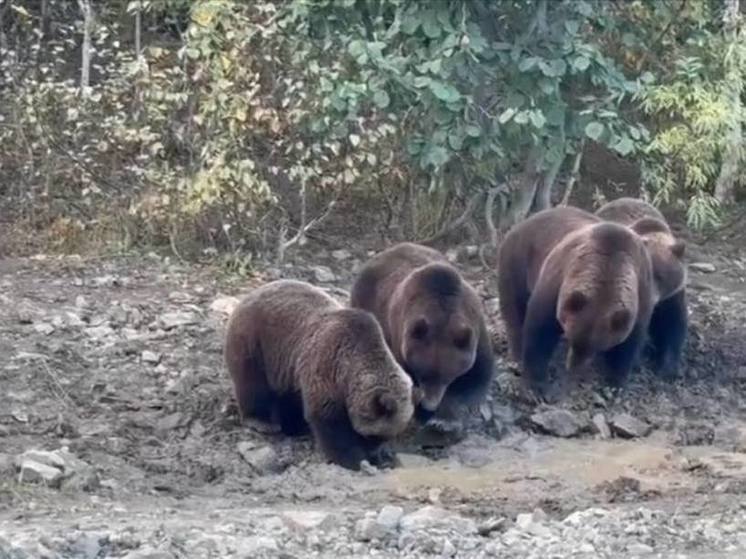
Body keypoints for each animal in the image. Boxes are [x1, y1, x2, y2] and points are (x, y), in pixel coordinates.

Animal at [224, 278, 416, 470]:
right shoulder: (327, 366)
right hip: (255, 342)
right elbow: (329, 420)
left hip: (285, 365)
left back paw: (295, 426)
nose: (374, 452)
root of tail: (250, 294)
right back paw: (262, 422)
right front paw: (354, 458)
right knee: (252, 384)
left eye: (387, 436)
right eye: (374, 435)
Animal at [350, 243, 494, 422]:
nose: (429, 405)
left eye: (447, 377)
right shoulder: (401, 337)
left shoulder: (476, 327)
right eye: (422, 373)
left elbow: (479, 373)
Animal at [496, 208, 652, 400]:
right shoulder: (556, 283)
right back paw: (517, 353)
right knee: (514, 309)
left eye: (598, 345)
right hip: (517, 261)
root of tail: (524, 222)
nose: (573, 366)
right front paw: (535, 385)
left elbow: (628, 344)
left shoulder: (641, 294)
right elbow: (539, 330)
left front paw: (614, 384)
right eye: (573, 337)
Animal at [592, 198, 684, 380]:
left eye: (660, 275)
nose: (649, 299)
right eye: (643, 275)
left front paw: (667, 366)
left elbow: (673, 324)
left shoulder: (672, 295)